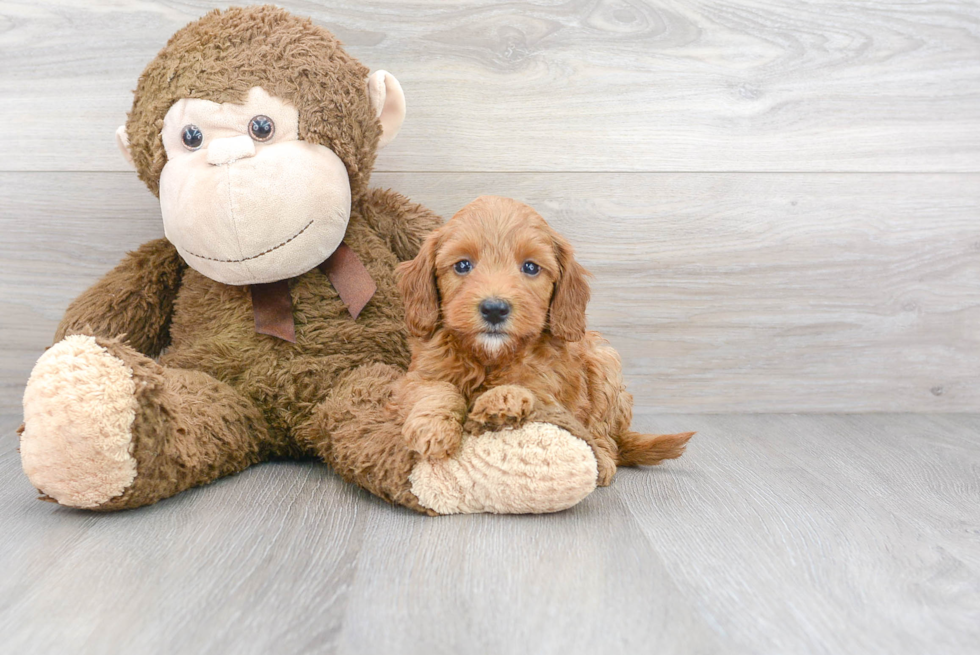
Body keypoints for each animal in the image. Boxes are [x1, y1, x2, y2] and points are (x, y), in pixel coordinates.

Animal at [394, 195, 692, 486]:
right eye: (462, 265)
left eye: (530, 267)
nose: (494, 309)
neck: (490, 357)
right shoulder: (420, 374)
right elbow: (436, 390)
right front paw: (433, 428)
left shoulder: (550, 391)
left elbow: (525, 387)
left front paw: (500, 403)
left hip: (604, 361)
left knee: (604, 433)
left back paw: (604, 457)